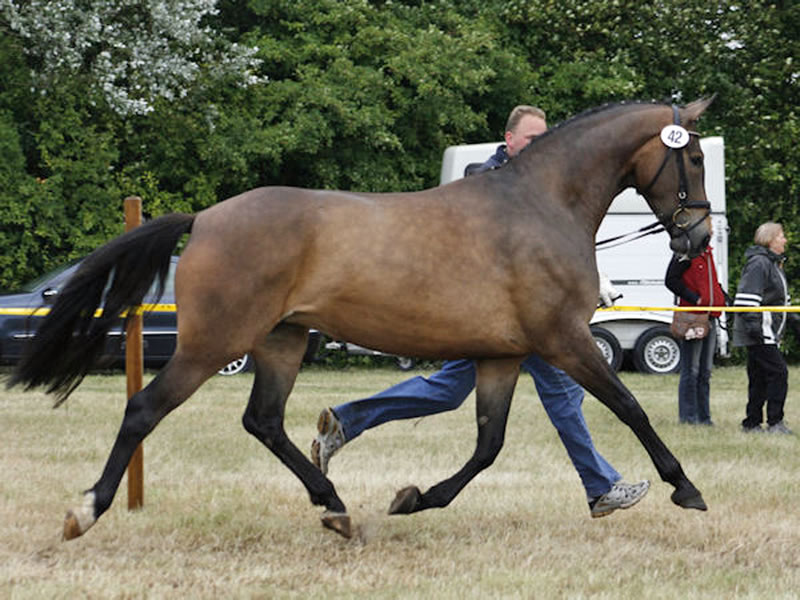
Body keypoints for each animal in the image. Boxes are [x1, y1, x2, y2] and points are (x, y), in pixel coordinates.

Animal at [9, 97, 712, 540]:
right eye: (696, 159)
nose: (698, 237)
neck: (541, 205)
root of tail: (204, 218)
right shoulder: (564, 341)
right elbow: (630, 407)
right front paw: (685, 488)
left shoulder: (503, 355)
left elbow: (488, 445)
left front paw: (415, 499)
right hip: (213, 345)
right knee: (144, 409)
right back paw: (87, 511)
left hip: (282, 341)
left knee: (263, 421)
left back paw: (337, 507)